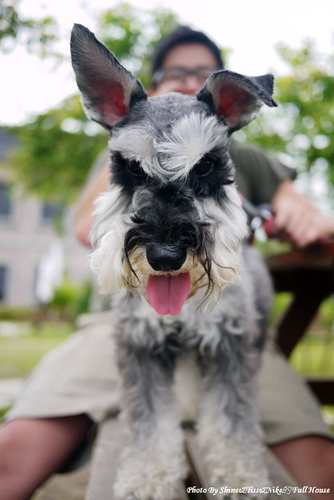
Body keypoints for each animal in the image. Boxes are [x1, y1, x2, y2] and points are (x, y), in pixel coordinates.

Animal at [71, 24, 276, 500]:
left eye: (205, 167)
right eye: (130, 167)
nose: (165, 256)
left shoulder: (230, 347)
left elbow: (232, 426)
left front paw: (241, 480)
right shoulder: (142, 346)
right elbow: (149, 425)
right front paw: (145, 480)